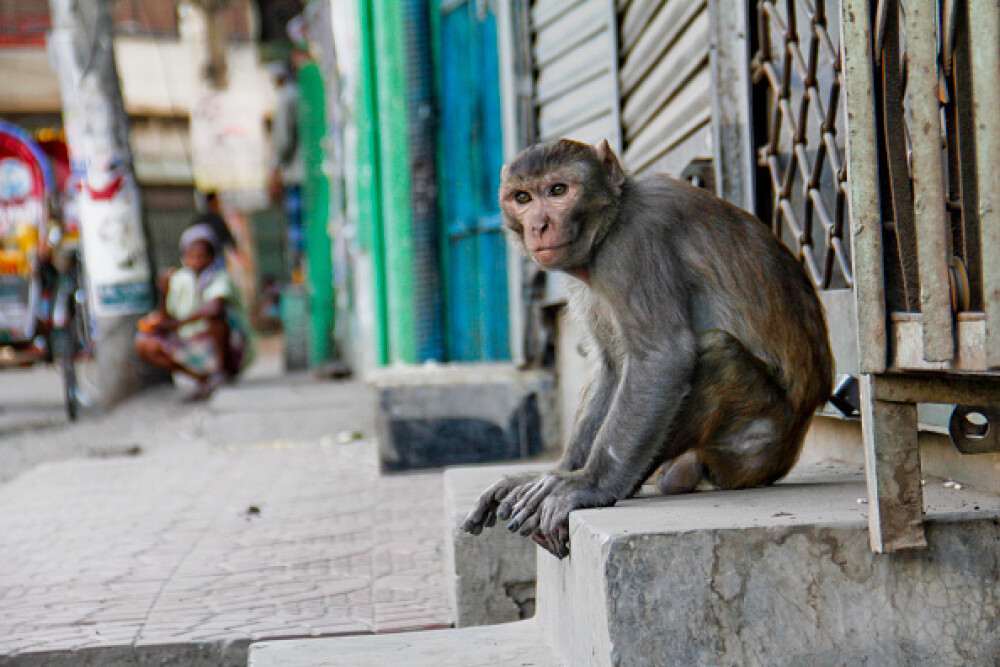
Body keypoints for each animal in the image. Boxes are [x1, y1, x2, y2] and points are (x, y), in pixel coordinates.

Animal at [462, 140, 836, 560]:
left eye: (558, 190)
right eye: (523, 198)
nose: (538, 226)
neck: (610, 220)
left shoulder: (632, 246)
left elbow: (661, 357)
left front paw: (586, 484)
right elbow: (612, 368)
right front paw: (558, 472)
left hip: (756, 443)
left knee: (716, 353)